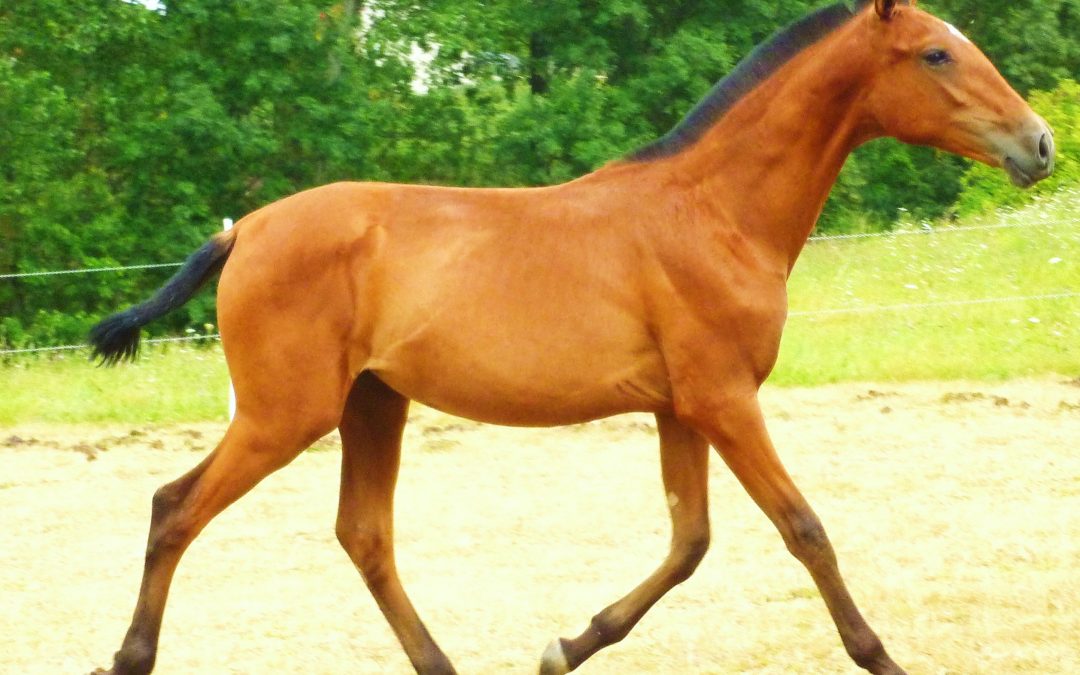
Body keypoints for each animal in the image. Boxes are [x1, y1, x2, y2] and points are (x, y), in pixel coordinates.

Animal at [88, 0, 1053, 673]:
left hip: (372, 404)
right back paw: (129, 657)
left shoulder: (681, 407)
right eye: (936, 52)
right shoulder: (722, 396)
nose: (1039, 143)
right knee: (175, 508)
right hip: (286, 413)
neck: (713, 212)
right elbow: (803, 527)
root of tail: (243, 231)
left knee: (364, 535)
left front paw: (566, 644)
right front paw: (880, 654)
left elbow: (689, 541)